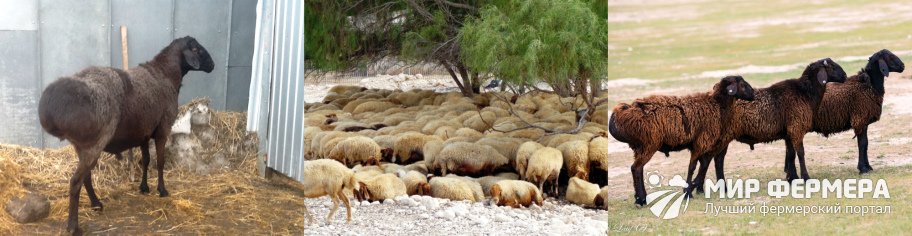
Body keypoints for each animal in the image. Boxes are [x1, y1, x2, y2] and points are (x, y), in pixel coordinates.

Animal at [608, 75, 760, 205]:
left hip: (641, 147)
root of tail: (625, 111)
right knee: (637, 168)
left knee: (636, 168)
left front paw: (693, 188)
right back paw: (641, 200)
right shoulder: (701, 143)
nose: (753, 94)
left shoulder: (702, 145)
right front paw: (688, 192)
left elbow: (703, 164)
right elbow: (692, 167)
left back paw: (639, 198)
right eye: (742, 84)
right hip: (649, 144)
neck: (717, 105)